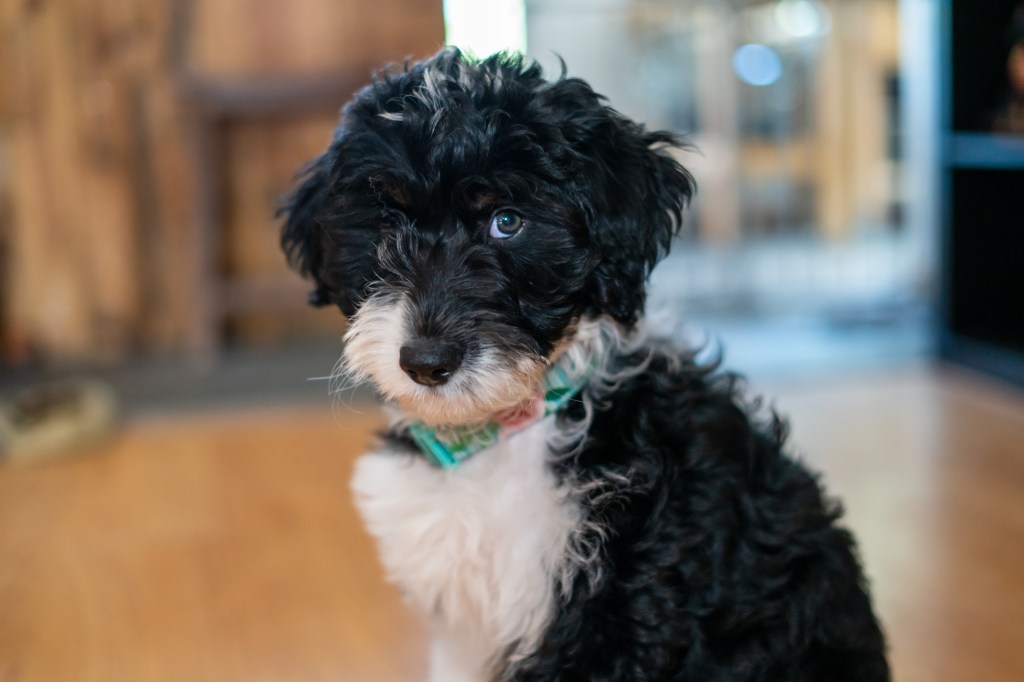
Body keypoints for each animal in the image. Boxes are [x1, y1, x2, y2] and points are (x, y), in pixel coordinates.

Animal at [280, 47, 888, 679]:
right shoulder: (465, 638)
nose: (426, 361)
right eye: (384, 221)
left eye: (507, 221)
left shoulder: (615, 618)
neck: (508, 433)